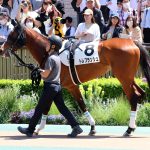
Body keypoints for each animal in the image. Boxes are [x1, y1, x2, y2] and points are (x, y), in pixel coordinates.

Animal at [0, 22, 150, 137]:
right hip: (129, 78)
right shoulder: (65, 86)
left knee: (134, 98)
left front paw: (36, 128)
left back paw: (129, 129)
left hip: (123, 78)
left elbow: (50, 105)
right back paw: (134, 125)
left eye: (12, 35)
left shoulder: (64, 86)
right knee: (141, 94)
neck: (51, 52)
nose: (1, 49)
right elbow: (77, 105)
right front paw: (91, 128)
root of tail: (132, 42)